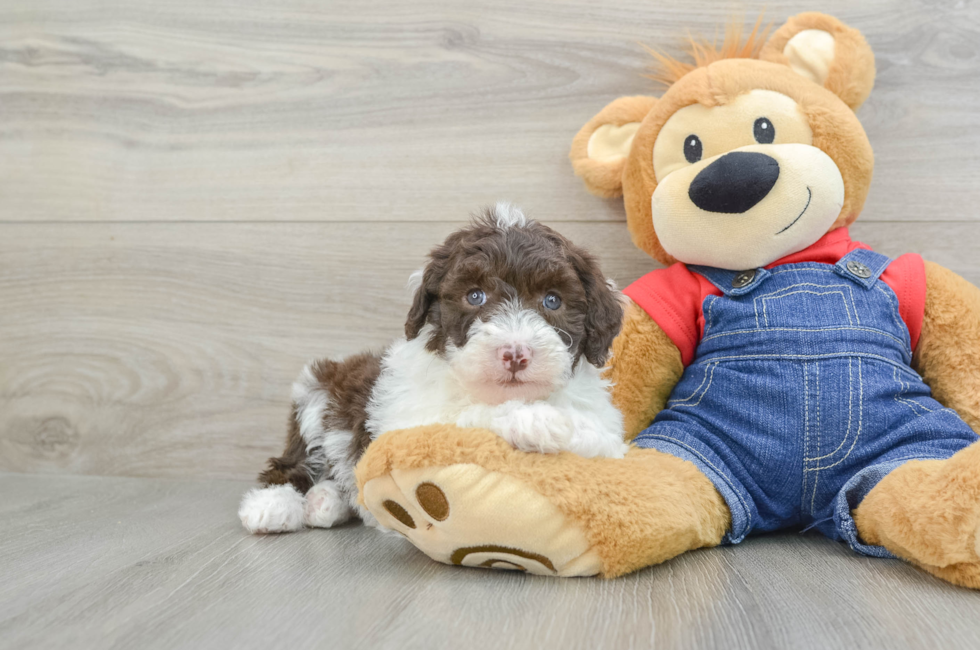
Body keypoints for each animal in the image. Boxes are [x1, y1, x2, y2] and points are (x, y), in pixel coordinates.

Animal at [238, 205, 624, 536]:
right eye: (475, 296)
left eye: (552, 300)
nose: (515, 354)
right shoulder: (407, 428)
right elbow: (463, 420)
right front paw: (530, 418)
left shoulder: (607, 436)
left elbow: (594, 437)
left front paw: (545, 420)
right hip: (315, 394)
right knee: (291, 464)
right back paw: (272, 505)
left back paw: (326, 501)